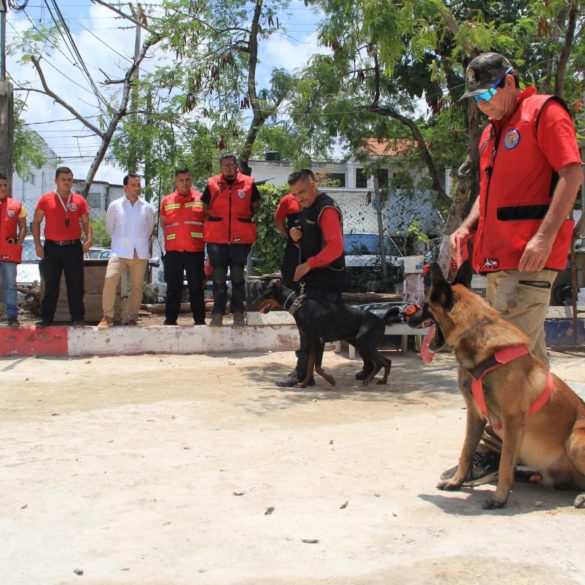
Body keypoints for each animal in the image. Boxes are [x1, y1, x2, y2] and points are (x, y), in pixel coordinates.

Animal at [258, 280, 394, 388]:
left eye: (264, 295)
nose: (255, 303)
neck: (299, 306)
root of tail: (382, 321)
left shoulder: (319, 342)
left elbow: (317, 368)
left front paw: (331, 380)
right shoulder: (311, 344)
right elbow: (309, 368)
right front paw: (303, 384)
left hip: (363, 343)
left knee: (381, 363)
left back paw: (368, 380)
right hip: (359, 343)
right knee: (387, 361)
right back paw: (383, 380)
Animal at [406, 262, 584, 508]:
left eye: (425, 305)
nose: (405, 317)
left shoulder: (513, 421)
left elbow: (505, 463)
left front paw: (499, 497)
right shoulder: (475, 414)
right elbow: (466, 450)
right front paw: (456, 481)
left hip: (575, 438)